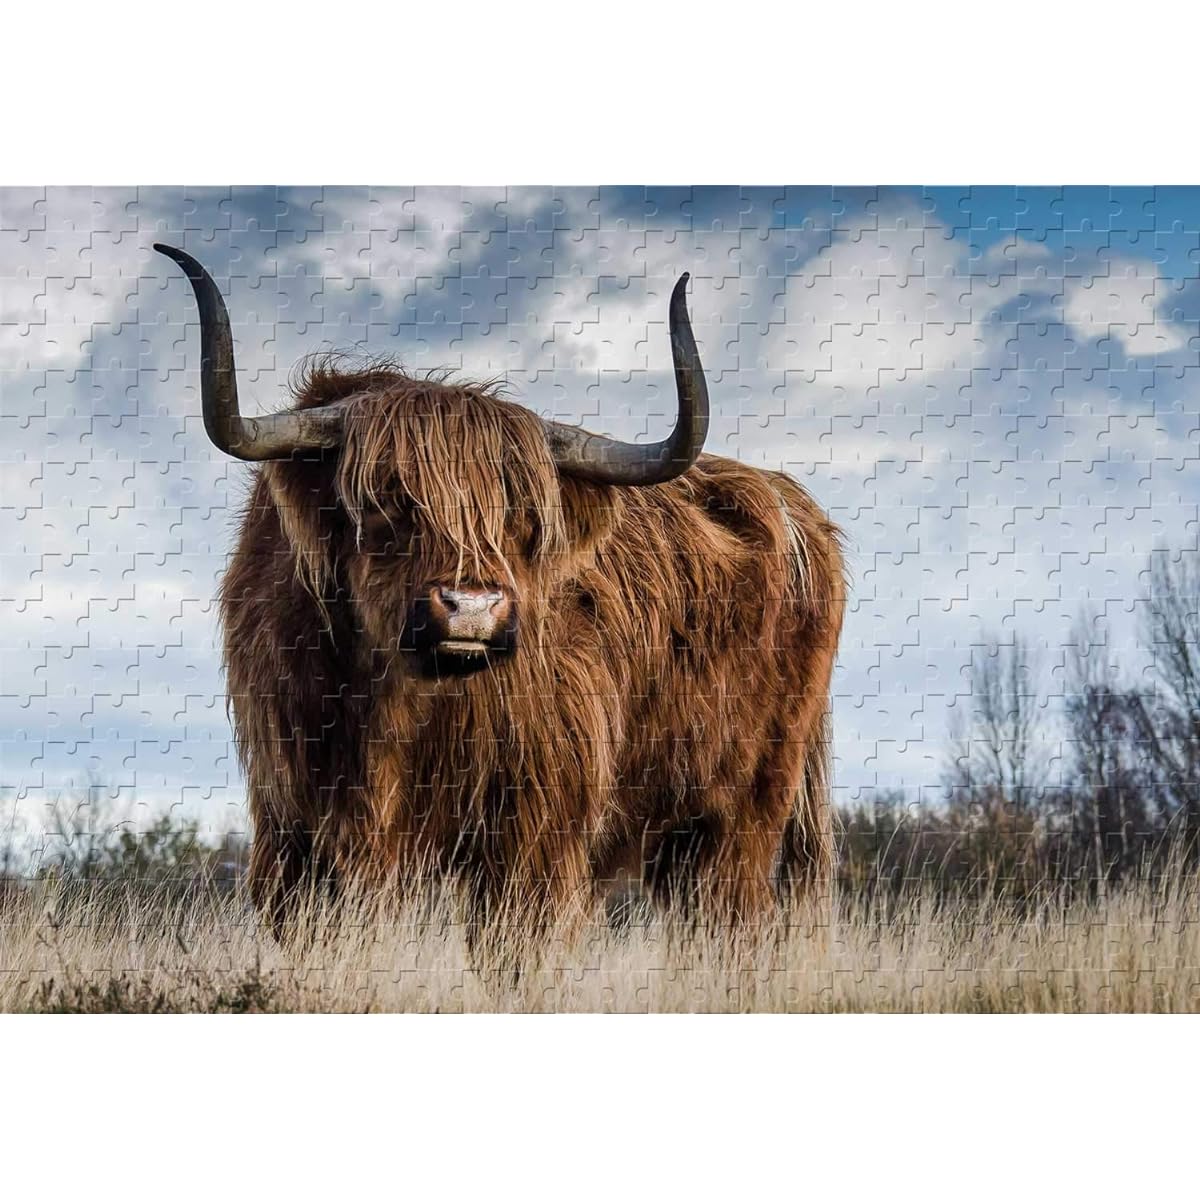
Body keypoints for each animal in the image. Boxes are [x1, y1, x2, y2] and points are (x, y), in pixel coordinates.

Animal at [155, 243, 845, 947]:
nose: (473, 608)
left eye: (523, 516)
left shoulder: (535, 828)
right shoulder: (293, 824)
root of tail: (792, 504)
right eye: (386, 501)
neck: (392, 706)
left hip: (742, 814)